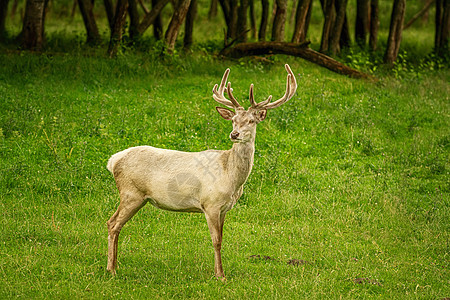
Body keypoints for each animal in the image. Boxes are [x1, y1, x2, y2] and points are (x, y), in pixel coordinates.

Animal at [105, 64, 296, 280]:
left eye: (251, 121)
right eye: (233, 120)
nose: (234, 134)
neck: (230, 177)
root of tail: (113, 161)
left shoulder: (224, 208)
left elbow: (222, 237)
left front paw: (219, 271)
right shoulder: (210, 203)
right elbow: (216, 240)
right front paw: (220, 275)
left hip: (136, 196)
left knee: (115, 223)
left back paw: (115, 266)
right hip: (131, 193)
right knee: (113, 223)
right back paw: (111, 269)